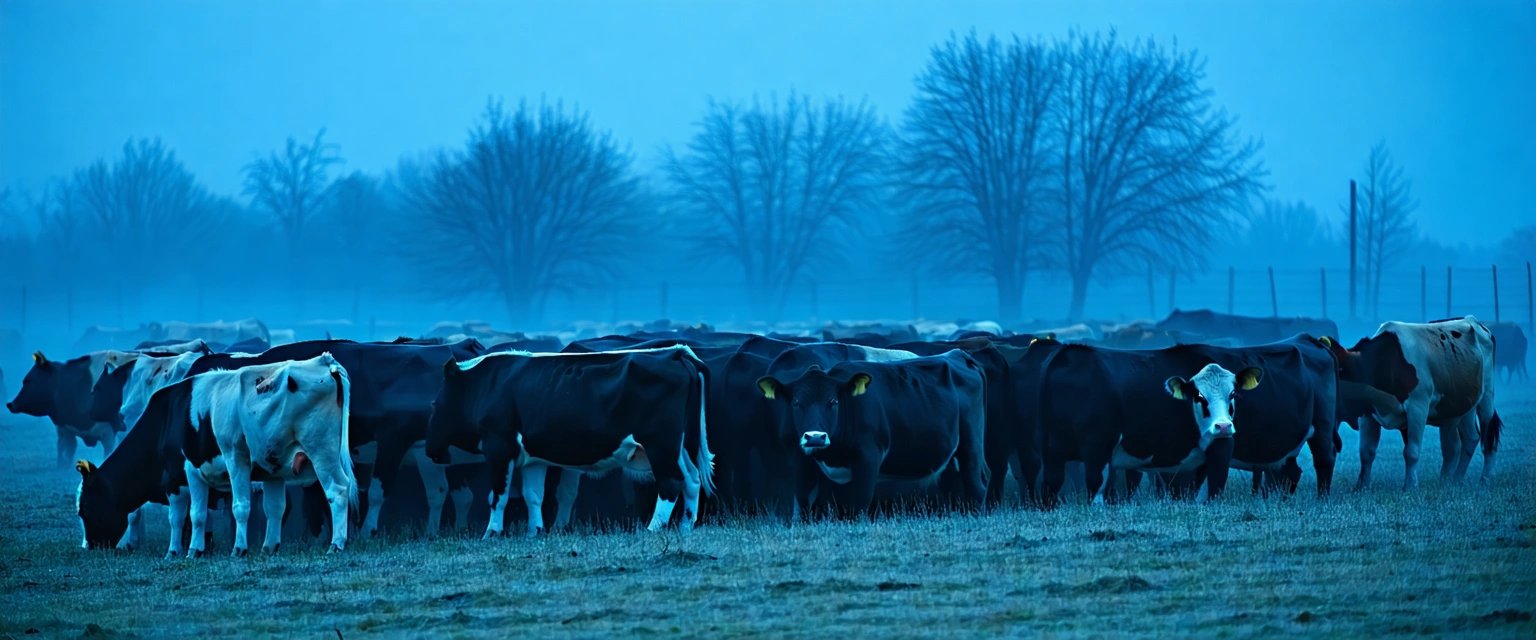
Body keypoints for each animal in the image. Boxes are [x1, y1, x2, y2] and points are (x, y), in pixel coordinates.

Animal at [180, 354, 357, 556]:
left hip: (321, 450)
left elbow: (222, 509)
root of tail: (325, 361)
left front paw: (233, 549)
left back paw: (336, 544)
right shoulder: (273, 470)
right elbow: (274, 507)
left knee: (337, 489)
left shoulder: (230, 457)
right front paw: (269, 547)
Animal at [424, 346, 714, 538]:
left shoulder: (499, 446)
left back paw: (652, 528)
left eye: (435, 404)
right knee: (692, 481)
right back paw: (686, 527)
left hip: (660, 444)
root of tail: (675, 352)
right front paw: (535, 532)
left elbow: (498, 495)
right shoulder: (533, 459)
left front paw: (491, 533)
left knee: (671, 482)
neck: (490, 383)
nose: (430, 450)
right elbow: (533, 495)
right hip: (681, 446)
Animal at [755, 350, 988, 519]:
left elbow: (859, 504)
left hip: (971, 443)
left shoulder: (869, 456)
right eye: (796, 403)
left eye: (833, 402)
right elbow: (804, 503)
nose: (814, 437)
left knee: (977, 482)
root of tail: (958, 354)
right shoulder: (800, 458)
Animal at [1033, 344, 1262, 504]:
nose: (1223, 426)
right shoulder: (1220, 445)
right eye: (1199, 395)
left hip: (1052, 449)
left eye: (1232, 394)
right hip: (1095, 449)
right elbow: (1213, 489)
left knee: (1051, 484)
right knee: (1094, 485)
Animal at [1329, 316, 1504, 490]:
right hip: (1461, 406)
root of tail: (1473, 320)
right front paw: (1362, 486)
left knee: (1487, 437)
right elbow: (1366, 452)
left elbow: (1411, 451)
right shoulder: (1368, 414)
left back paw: (1484, 479)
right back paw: (1452, 480)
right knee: (1464, 441)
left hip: (1487, 396)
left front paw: (1410, 485)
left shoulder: (1418, 407)